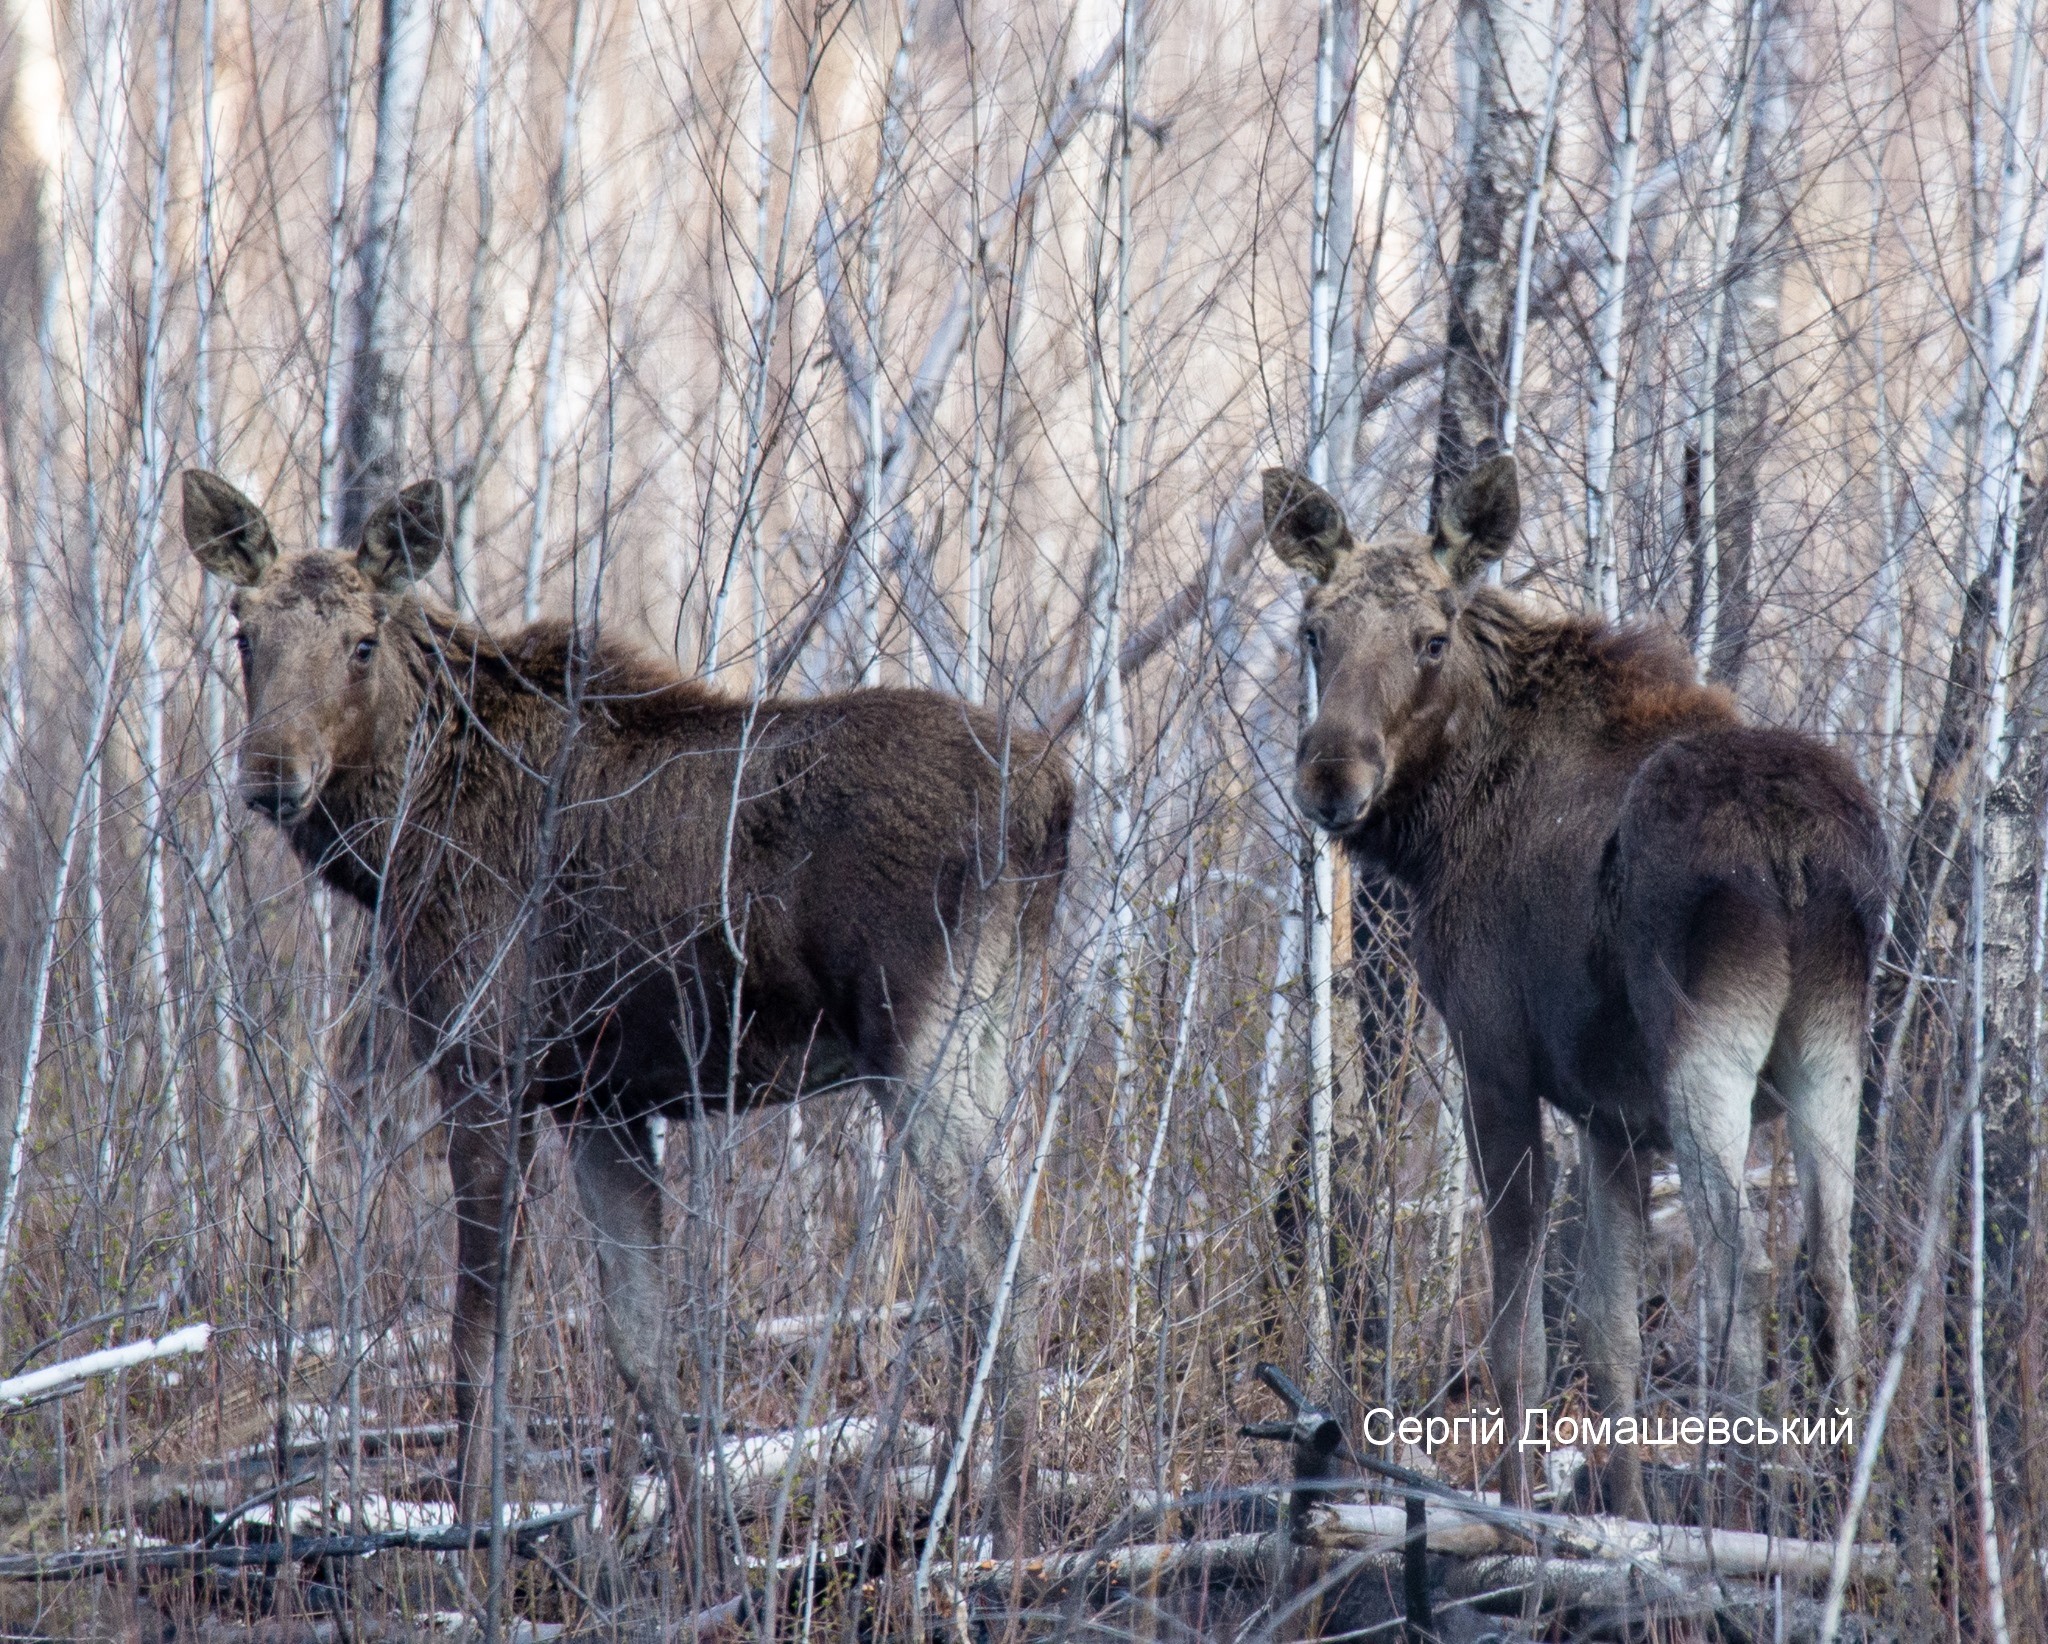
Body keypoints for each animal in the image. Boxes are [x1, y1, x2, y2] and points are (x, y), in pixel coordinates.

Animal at [184, 472, 1073, 1539]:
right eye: (244, 633)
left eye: (362, 640)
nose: (271, 772)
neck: (395, 845)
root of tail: (1056, 801)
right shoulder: (602, 1101)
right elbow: (642, 1339)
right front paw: (699, 1543)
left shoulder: (484, 1063)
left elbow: (478, 1338)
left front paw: (475, 1534)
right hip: (989, 1038)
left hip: (922, 1041)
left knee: (999, 1273)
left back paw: (1000, 1526)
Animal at [1261, 452, 1884, 1515]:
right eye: (1314, 632)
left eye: (1432, 638)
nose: (1332, 779)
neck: (1443, 826)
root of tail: (1795, 852)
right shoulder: (1613, 1117)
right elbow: (1611, 1331)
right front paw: (1623, 1513)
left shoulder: (1496, 1061)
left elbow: (1520, 1337)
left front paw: (1518, 1511)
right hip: (1831, 1043)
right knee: (1829, 1271)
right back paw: (1844, 1513)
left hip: (1706, 1049)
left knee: (1747, 1267)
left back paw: (1735, 1512)